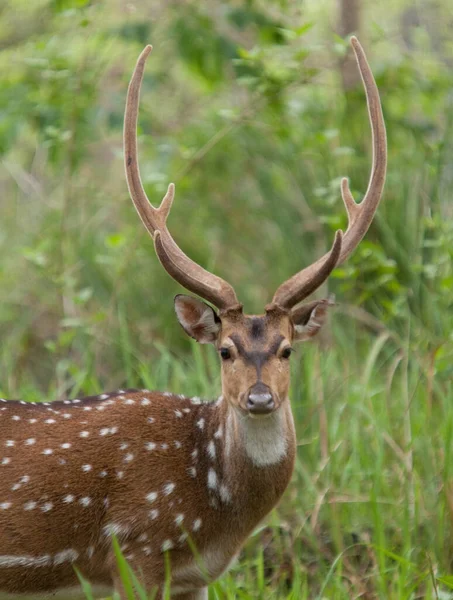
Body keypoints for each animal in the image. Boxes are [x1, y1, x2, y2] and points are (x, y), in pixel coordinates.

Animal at [0, 37, 384, 600]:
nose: (260, 397)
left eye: (287, 348)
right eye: (224, 349)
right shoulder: (133, 550)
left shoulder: (194, 578)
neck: (215, 518)